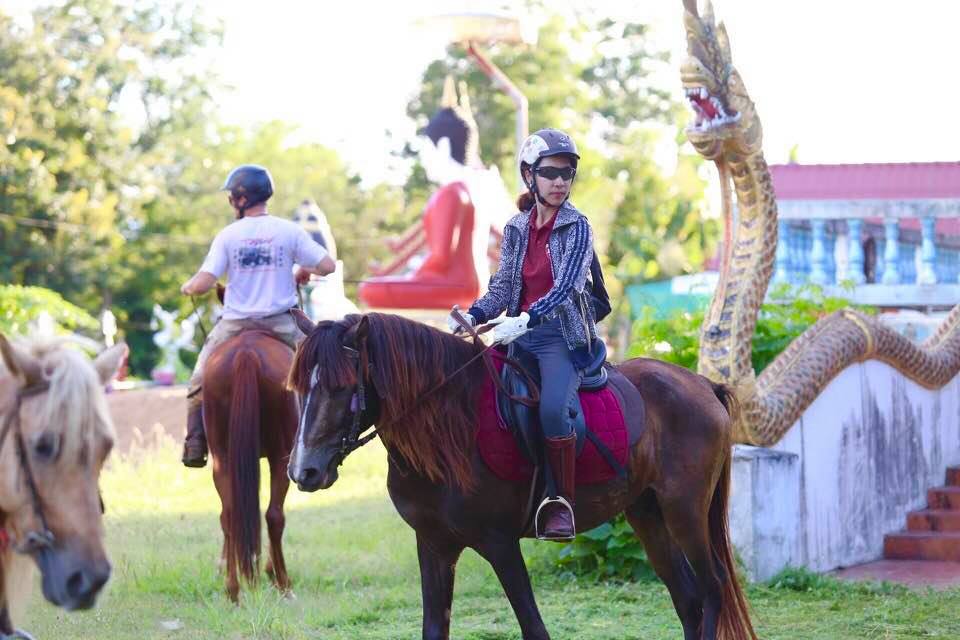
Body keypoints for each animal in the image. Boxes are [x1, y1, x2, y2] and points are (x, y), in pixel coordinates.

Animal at [202, 330, 299, 602]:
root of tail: (246, 354)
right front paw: (269, 572)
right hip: (281, 455)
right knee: (274, 516)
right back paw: (284, 584)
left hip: (222, 459)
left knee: (229, 515)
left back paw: (233, 591)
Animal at [286, 313, 757, 640]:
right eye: (299, 389)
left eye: (341, 387)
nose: (304, 470)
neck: (449, 426)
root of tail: (703, 385)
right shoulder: (434, 545)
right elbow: (434, 628)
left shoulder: (500, 544)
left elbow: (534, 628)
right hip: (648, 513)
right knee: (688, 598)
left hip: (684, 511)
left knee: (712, 588)